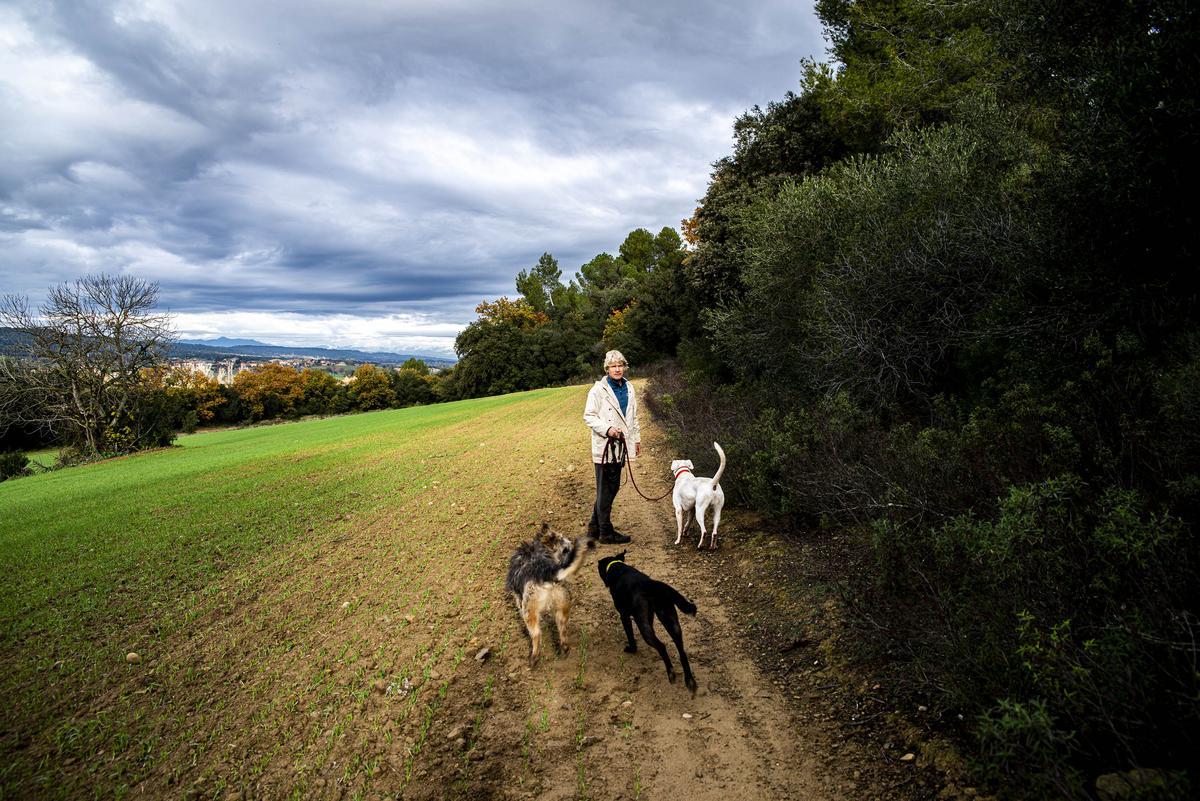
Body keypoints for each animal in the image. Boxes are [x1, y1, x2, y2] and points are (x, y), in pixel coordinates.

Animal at [597, 551, 700, 695]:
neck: (616, 567)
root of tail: (652, 584)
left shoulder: (624, 616)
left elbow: (630, 636)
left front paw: (632, 649)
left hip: (644, 627)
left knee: (661, 646)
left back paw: (671, 673)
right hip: (670, 621)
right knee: (682, 651)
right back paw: (689, 680)